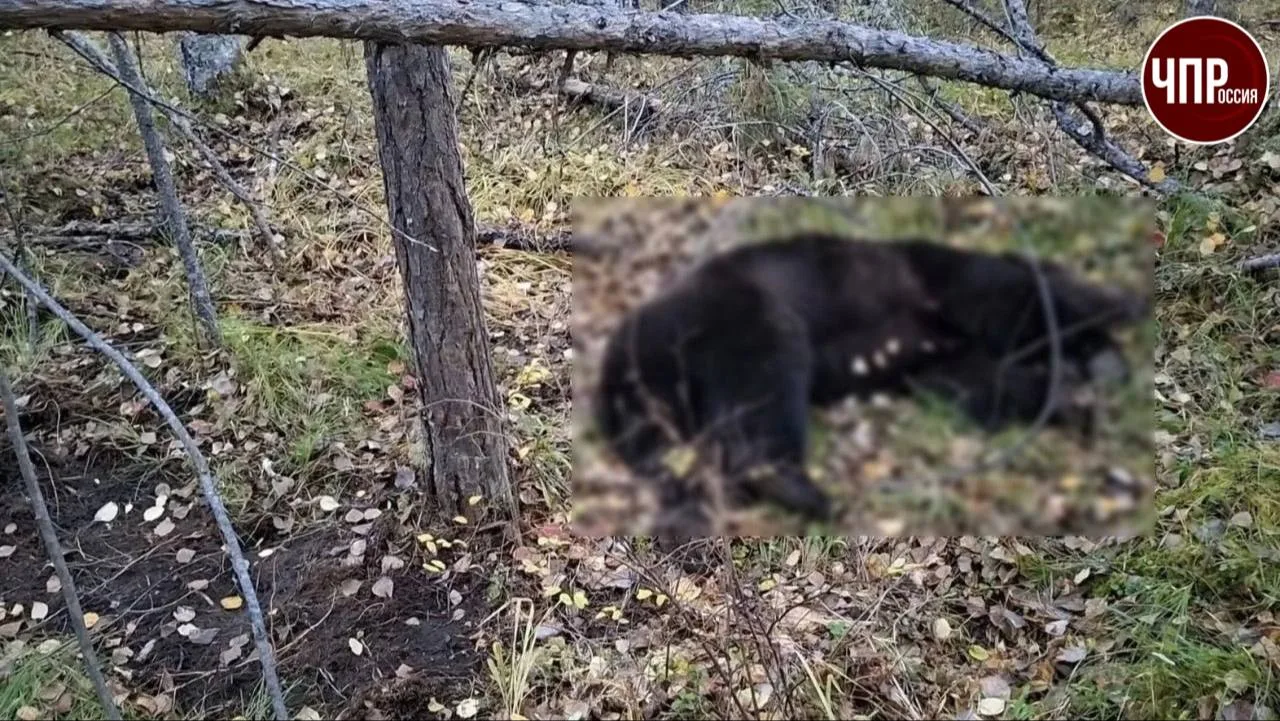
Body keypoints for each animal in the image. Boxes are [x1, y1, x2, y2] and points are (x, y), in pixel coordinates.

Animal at [591, 232, 1145, 538]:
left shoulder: (942, 356)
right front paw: (1097, 356)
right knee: (764, 387)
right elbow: (1024, 313)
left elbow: (989, 387)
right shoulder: (959, 288)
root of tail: (624, 357)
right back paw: (800, 490)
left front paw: (1076, 398)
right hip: (745, 314)